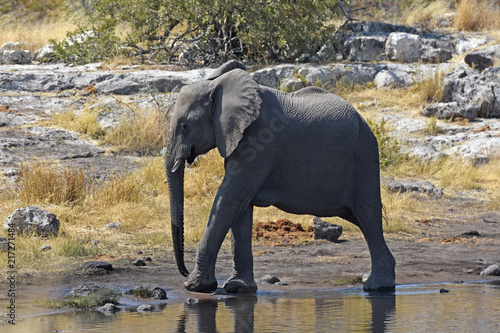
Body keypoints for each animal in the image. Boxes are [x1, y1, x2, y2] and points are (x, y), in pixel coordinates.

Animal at [166, 60, 396, 294]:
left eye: (184, 126)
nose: (183, 271)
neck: (218, 86)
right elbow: (240, 208)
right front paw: (238, 287)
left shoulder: (260, 142)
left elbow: (230, 200)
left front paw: (195, 286)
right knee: (361, 218)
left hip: (363, 156)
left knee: (367, 217)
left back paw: (376, 286)